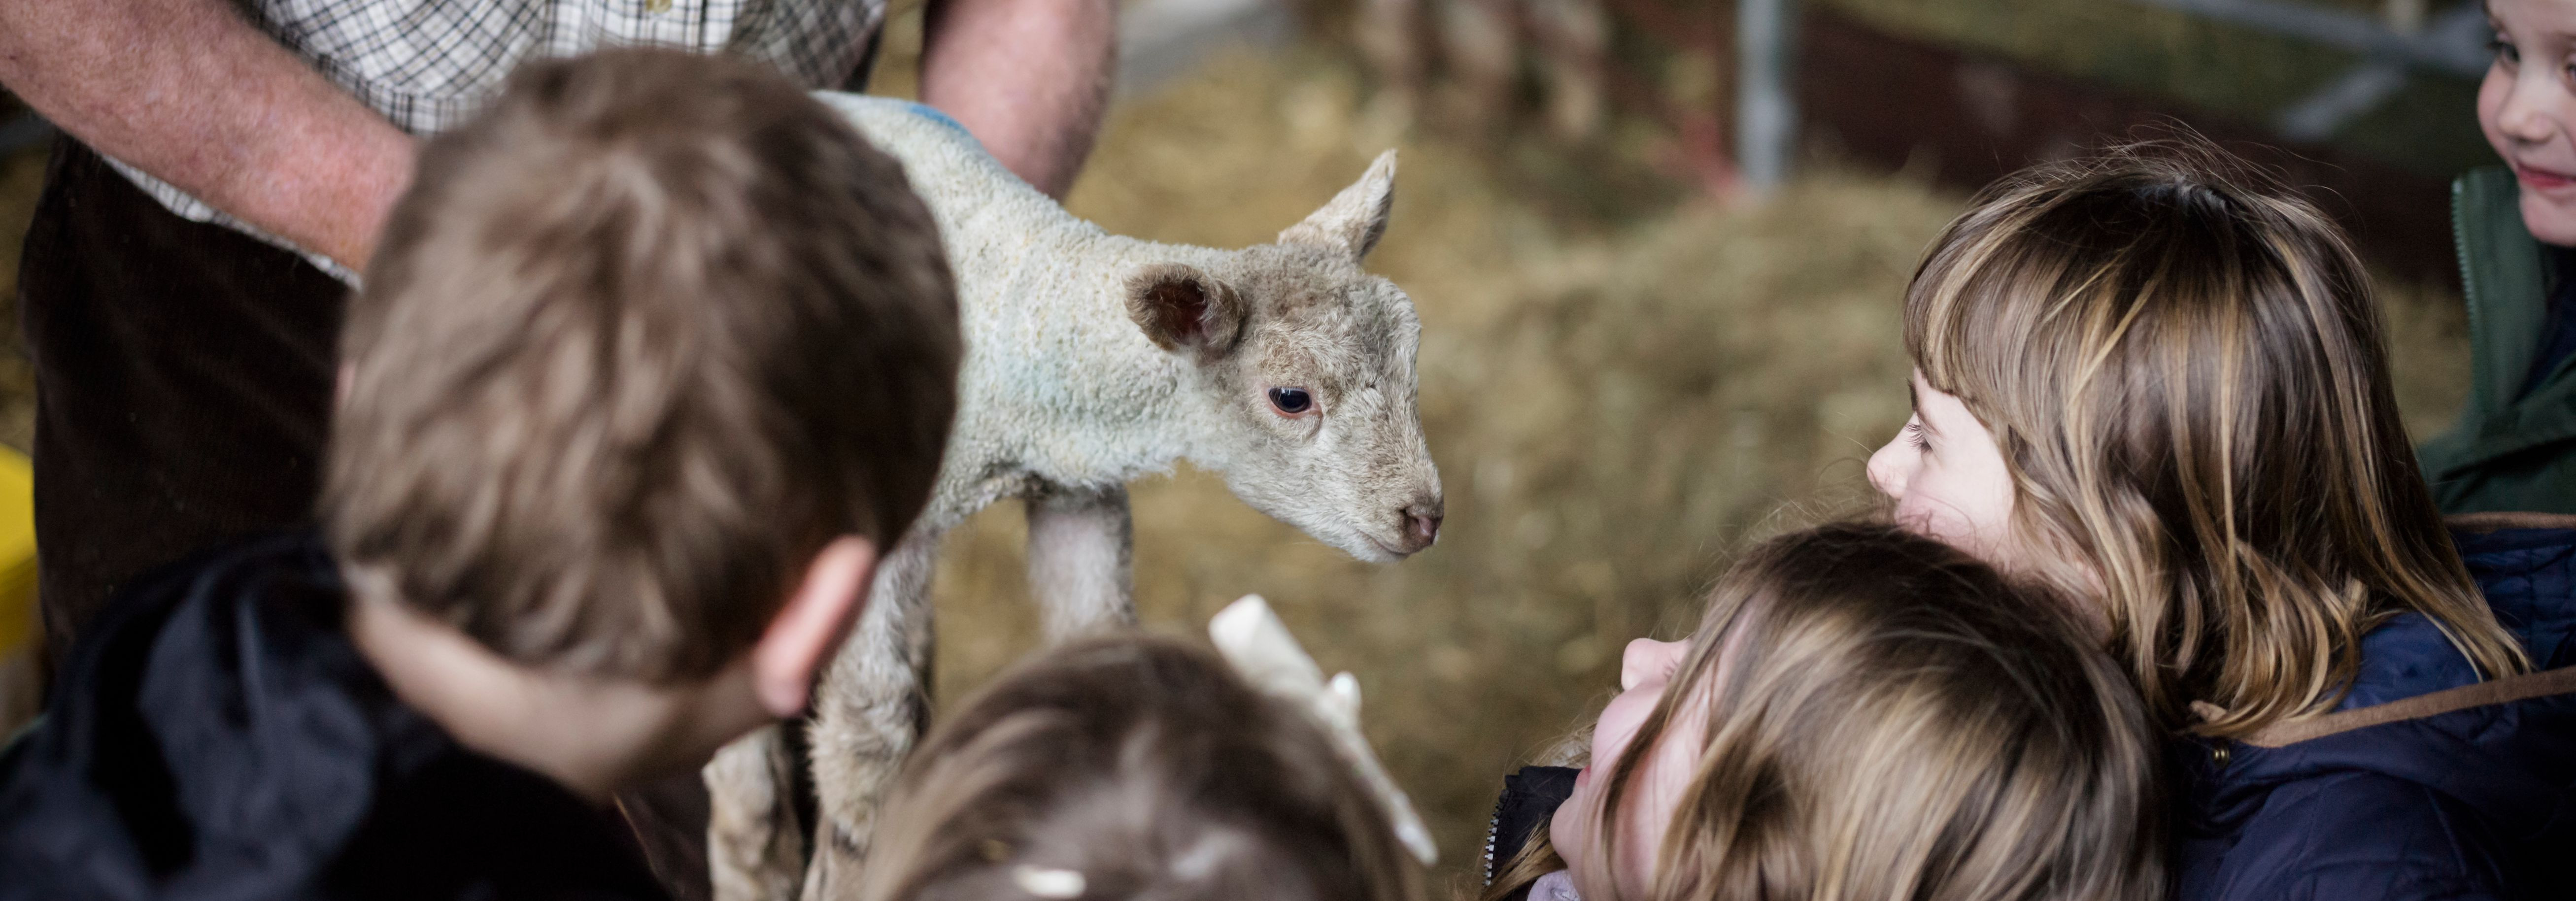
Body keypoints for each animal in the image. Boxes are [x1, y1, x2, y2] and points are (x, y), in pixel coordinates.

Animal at [706, 93, 1453, 901]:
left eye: (1413, 365)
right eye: (1291, 397)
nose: (1423, 516)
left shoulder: (1079, 500)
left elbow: (1098, 638)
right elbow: (868, 737)